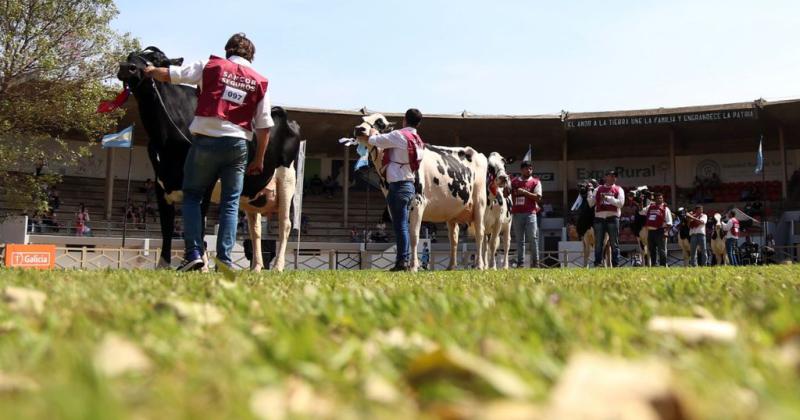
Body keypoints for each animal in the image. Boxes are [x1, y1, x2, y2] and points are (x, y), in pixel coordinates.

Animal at [354, 113, 488, 270]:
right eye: (363, 120)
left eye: (379, 123)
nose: (359, 129)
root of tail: (476, 152)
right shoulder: (394, 208)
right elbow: (402, 235)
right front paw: (403, 264)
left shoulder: (417, 203)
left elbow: (413, 236)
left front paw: (413, 266)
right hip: (452, 213)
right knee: (453, 238)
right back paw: (451, 266)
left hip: (480, 203)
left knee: (480, 234)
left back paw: (480, 265)